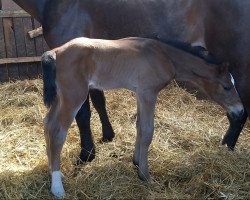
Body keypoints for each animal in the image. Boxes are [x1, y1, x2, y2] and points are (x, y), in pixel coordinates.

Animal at [12, 0, 249, 160]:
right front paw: (108, 135)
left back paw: (227, 147)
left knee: (241, 111)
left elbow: (83, 113)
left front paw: (87, 154)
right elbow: (99, 102)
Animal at [42, 37, 243, 197]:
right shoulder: (148, 93)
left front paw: (137, 162)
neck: (164, 55)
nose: (240, 111)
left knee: (48, 124)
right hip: (74, 96)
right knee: (58, 132)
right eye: (226, 86)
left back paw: (54, 173)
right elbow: (147, 132)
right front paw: (145, 176)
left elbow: (139, 127)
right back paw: (57, 188)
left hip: (61, 98)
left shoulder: (140, 93)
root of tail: (55, 52)